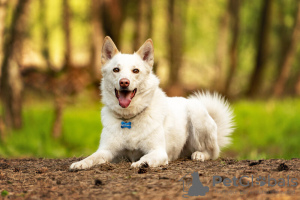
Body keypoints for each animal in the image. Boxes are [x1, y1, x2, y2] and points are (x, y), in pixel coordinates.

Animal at [70, 36, 234, 169]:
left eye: (135, 71)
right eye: (116, 70)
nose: (124, 82)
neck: (129, 118)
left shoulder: (158, 151)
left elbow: (146, 157)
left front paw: (142, 163)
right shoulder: (107, 151)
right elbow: (93, 157)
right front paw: (81, 163)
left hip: (198, 117)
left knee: (213, 152)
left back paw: (199, 154)